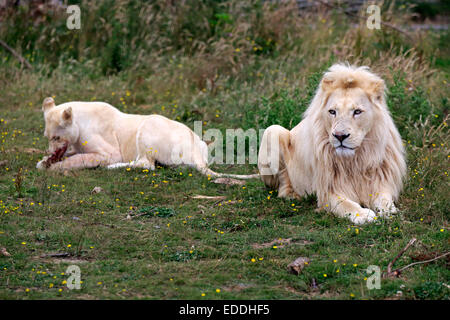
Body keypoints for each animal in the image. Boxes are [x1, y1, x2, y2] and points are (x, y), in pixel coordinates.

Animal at [36, 96, 256, 179]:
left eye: (56, 137)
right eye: (48, 136)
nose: (51, 149)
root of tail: (196, 152)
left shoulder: (109, 152)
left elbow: (77, 159)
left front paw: (52, 166)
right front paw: (45, 160)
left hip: (148, 124)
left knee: (146, 164)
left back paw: (113, 168)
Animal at [256, 63, 408, 224]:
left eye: (357, 111)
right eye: (332, 111)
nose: (340, 136)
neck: (356, 160)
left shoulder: (381, 183)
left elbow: (385, 200)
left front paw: (390, 212)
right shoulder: (327, 192)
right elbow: (346, 204)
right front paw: (364, 215)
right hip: (272, 130)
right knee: (283, 184)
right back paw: (293, 194)